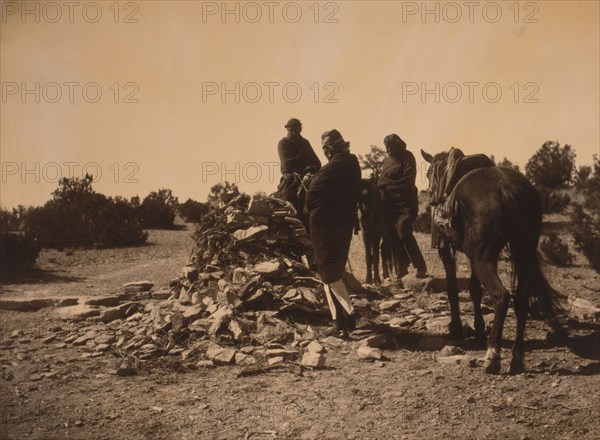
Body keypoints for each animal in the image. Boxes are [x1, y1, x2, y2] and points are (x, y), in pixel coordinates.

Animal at [420, 150, 564, 372]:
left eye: (429, 173)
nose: (432, 197)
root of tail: (506, 188)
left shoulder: (447, 250)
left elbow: (453, 289)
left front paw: (456, 329)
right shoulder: (471, 256)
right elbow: (474, 290)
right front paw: (479, 331)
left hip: (483, 258)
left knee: (502, 296)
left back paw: (493, 355)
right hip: (522, 253)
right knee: (521, 299)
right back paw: (516, 357)